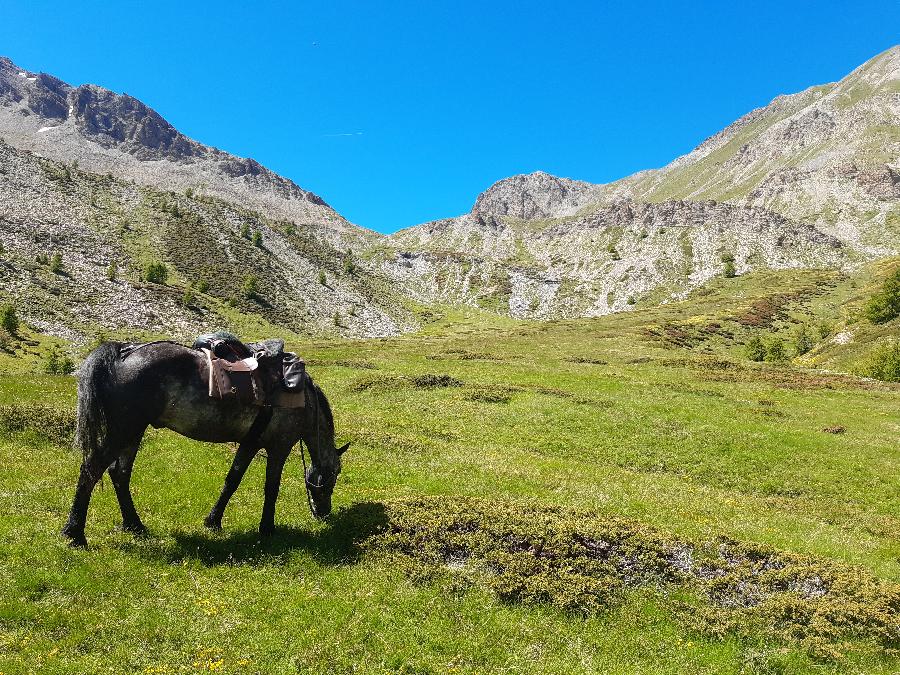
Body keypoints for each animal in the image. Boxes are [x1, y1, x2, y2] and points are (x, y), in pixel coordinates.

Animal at [60, 340, 348, 548]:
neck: (304, 401)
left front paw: (213, 521)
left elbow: (232, 480)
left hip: (133, 433)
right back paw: (75, 533)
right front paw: (267, 528)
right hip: (124, 430)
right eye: (335, 474)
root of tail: (123, 353)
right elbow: (271, 488)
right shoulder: (279, 446)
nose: (324, 513)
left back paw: (135, 525)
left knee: (119, 473)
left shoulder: (250, 443)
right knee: (91, 470)